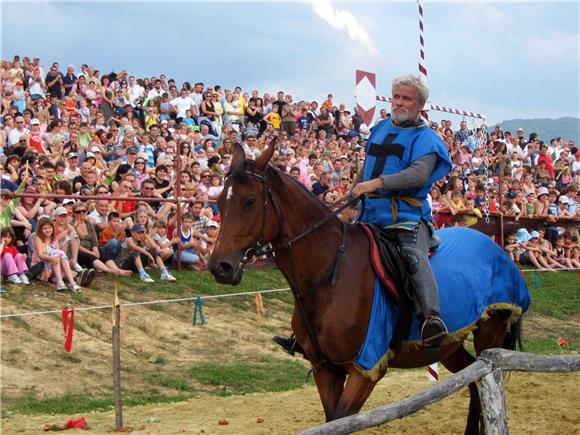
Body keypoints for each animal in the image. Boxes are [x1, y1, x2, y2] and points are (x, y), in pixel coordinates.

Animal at [207, 141, 524, 434]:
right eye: (220, 201)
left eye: (249, 201)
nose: (220, 267)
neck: (331, 274)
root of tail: (495, 249)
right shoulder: (326, 370)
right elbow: (332, 420)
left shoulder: (367, 369)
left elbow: (342, 422)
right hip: (448, 346)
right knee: (474, 385)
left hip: (489, 333)